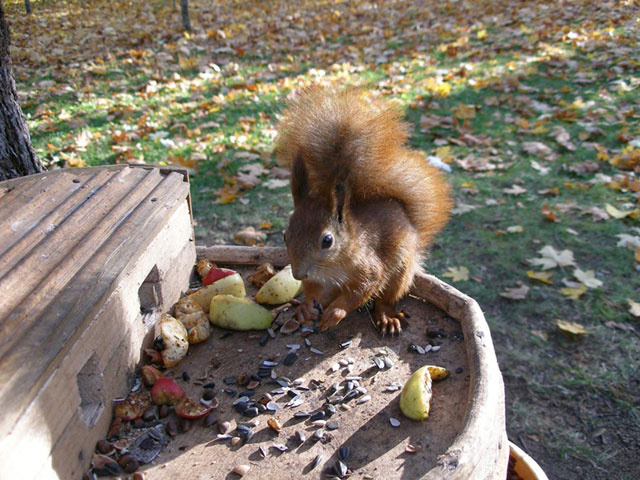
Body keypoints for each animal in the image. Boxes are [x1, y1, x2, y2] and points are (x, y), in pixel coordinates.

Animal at [275, 87, 452, 334]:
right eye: (285, 235)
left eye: (327, 241)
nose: (297, 274)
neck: (332, 266)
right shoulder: (317, 279)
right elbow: (312, 289)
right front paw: (307, 306)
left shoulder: (368, 267)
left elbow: (363, 289)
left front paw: (335, 313)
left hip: (401, 270)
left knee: (387, 297)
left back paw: (386, 316)